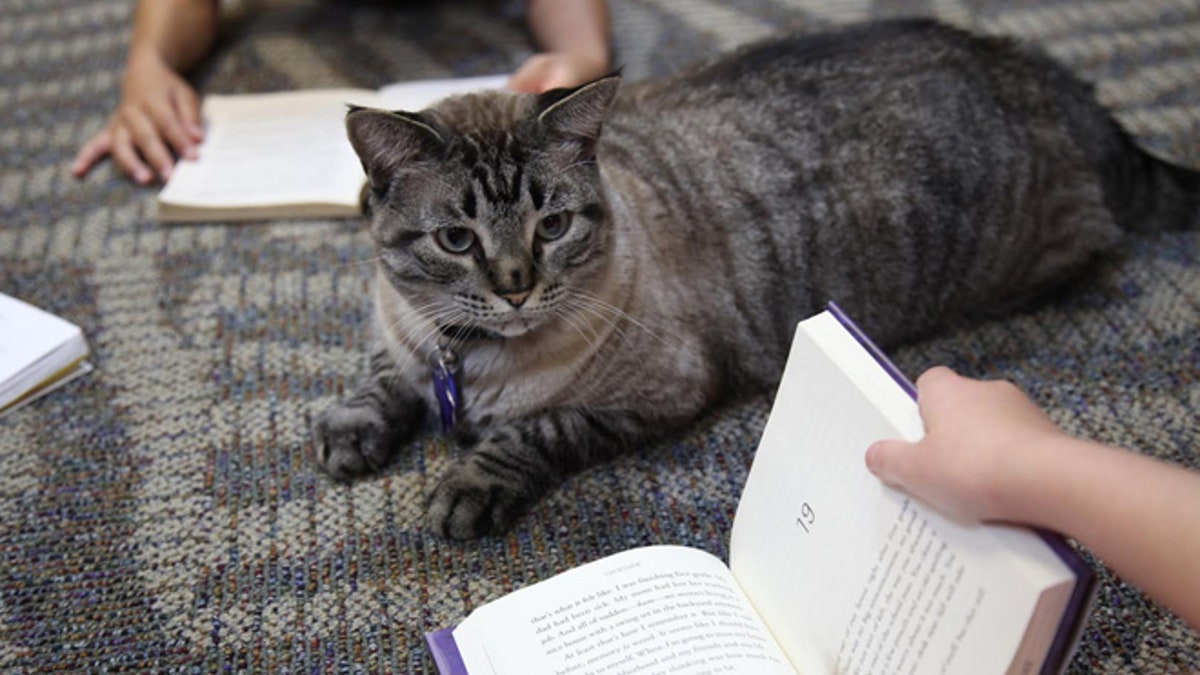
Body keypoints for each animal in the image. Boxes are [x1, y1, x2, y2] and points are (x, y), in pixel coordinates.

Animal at [314, 18, 1195, 538]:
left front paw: (467, 485)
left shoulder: (656, 395)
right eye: (457, 239)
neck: (468, 358)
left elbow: (531, 434)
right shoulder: (403, 335)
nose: (516, 284)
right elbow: (379, 378)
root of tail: (1047, 72)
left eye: (552, 227)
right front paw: (352, 432)